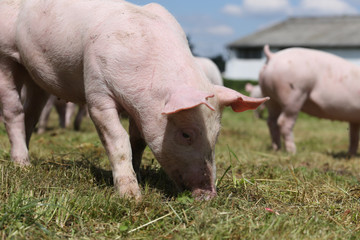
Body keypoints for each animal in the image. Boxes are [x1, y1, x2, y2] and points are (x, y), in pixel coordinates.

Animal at [0, 0, 268, 199]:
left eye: (217, 134)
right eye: (186, 134)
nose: (209, 195)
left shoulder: (141, 110)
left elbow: (137, 141)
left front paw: (139, 175)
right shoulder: (97, 89)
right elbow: (118, 140)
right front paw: (131, 196)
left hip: (35, 76)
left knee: (31, 113)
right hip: (5, 56)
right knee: (14, 110)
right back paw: (22, 164)